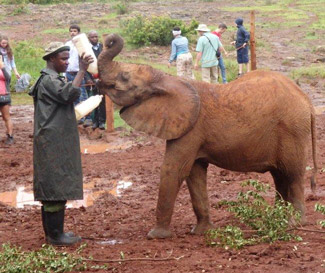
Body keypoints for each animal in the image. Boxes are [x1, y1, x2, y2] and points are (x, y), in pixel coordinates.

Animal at [97, 33, 316, 238]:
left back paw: (294, 223)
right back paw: (277, 218)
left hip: (293, 129)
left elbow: (173, 170)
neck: (169, 79)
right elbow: (195, 174)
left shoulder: (191, 129)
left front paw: (156, 236)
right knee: (280, 176)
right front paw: (201, 232)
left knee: (293, 175)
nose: (108, 40)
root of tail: (306, 98)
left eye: (125, 78)